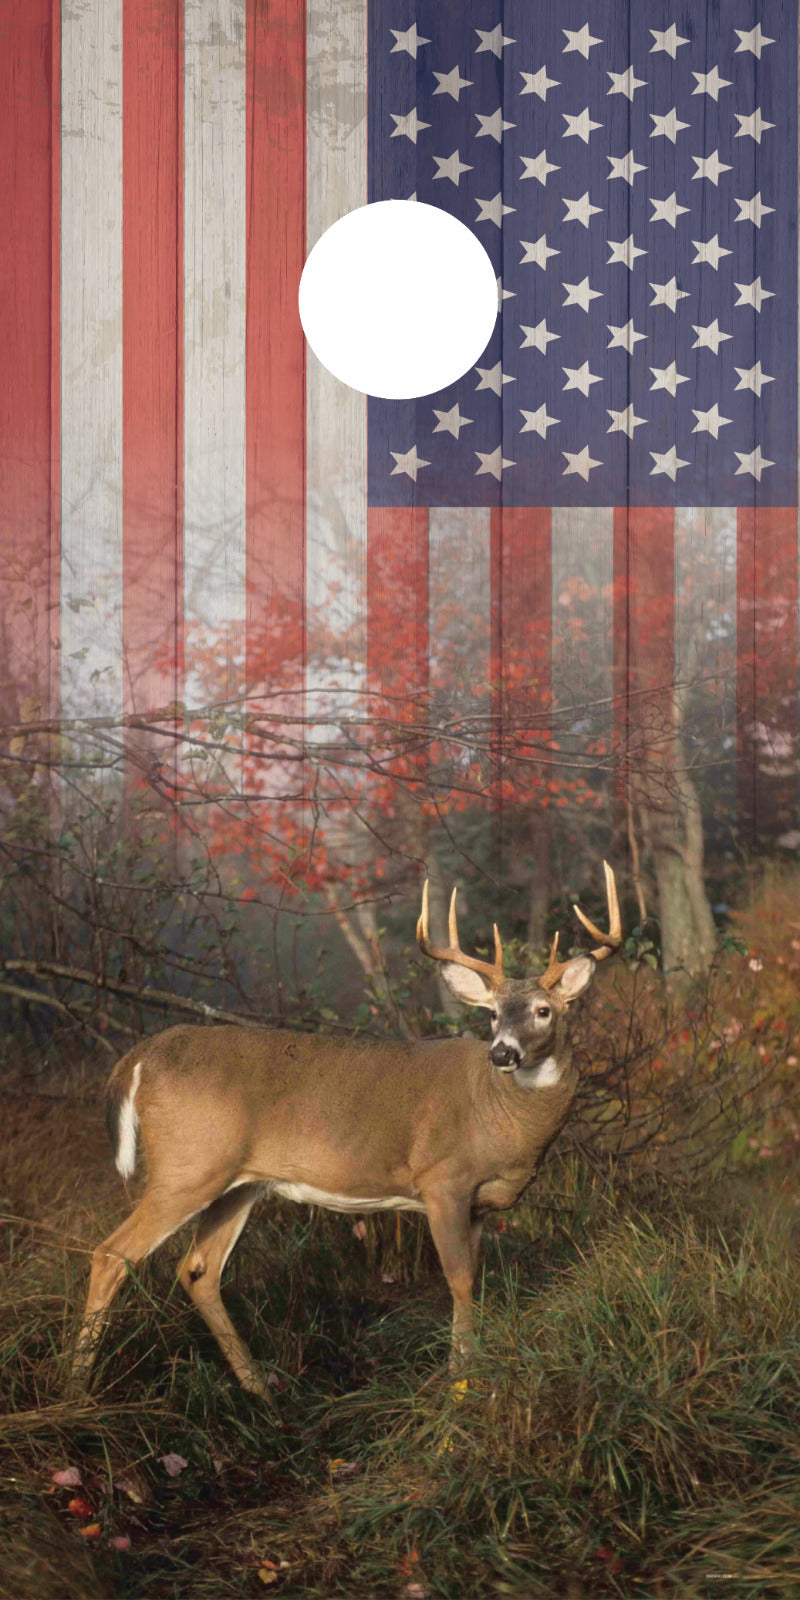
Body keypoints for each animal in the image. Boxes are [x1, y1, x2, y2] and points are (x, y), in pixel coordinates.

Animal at [71, 863, 621, 1398]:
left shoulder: (479, 1204)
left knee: (198, 1271)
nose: (503, 1052)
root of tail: (141, 1056)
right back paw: (74, 1386)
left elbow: (476, 1281)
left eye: (543, 1010)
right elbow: (460, 1280)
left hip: (239, 1181)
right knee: (111, 1254)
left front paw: (472, 1368)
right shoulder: (442, 1180)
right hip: (187, 1166)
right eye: (491, 1014)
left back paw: (262, 1391)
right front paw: (461, 1384)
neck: (502, 1117)